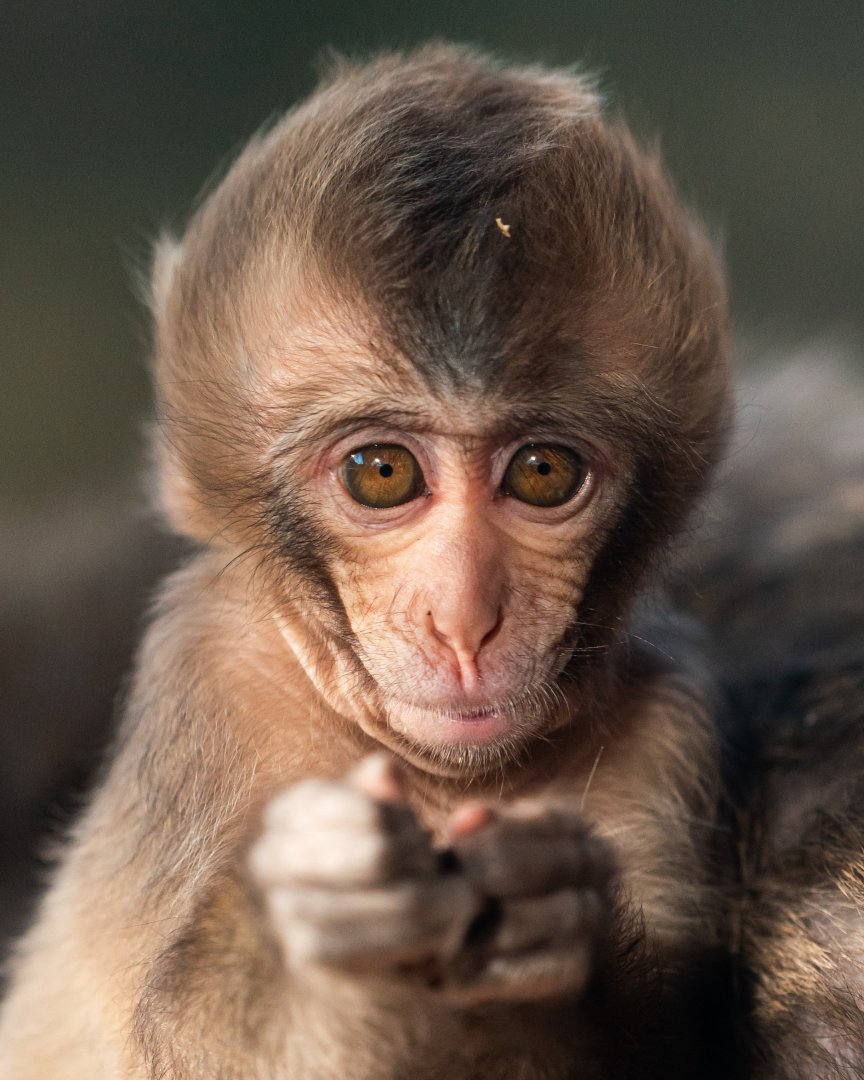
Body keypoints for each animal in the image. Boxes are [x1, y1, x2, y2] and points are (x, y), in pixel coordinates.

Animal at [1, 42, 859, 1078]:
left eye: (541, 472)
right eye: (382, 473)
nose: (465, 620)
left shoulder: (668, 727)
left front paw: (549, 946)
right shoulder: (213, 680)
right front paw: (314, 951)